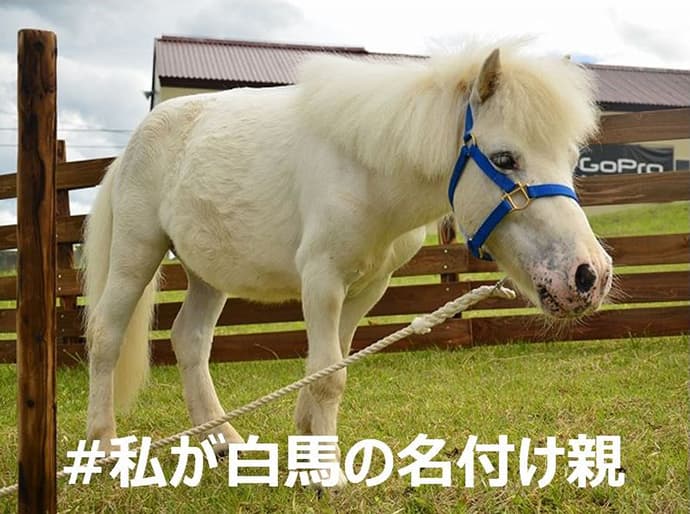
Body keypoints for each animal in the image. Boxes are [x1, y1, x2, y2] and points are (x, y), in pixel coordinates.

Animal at [83, 43, 612, 487]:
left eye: (572, 158)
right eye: (504, 159)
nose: (589, 275)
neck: (367, 170)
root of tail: (129, 149)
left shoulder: (367, 288)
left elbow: (331, 365)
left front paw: (308, 450)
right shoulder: (322, 281)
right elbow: (328, 374)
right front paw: (326, 475)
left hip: (208, 273)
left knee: (190, 341)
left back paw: (223, 442)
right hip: (137, 251)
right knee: (107, 335)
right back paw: (104, 446)